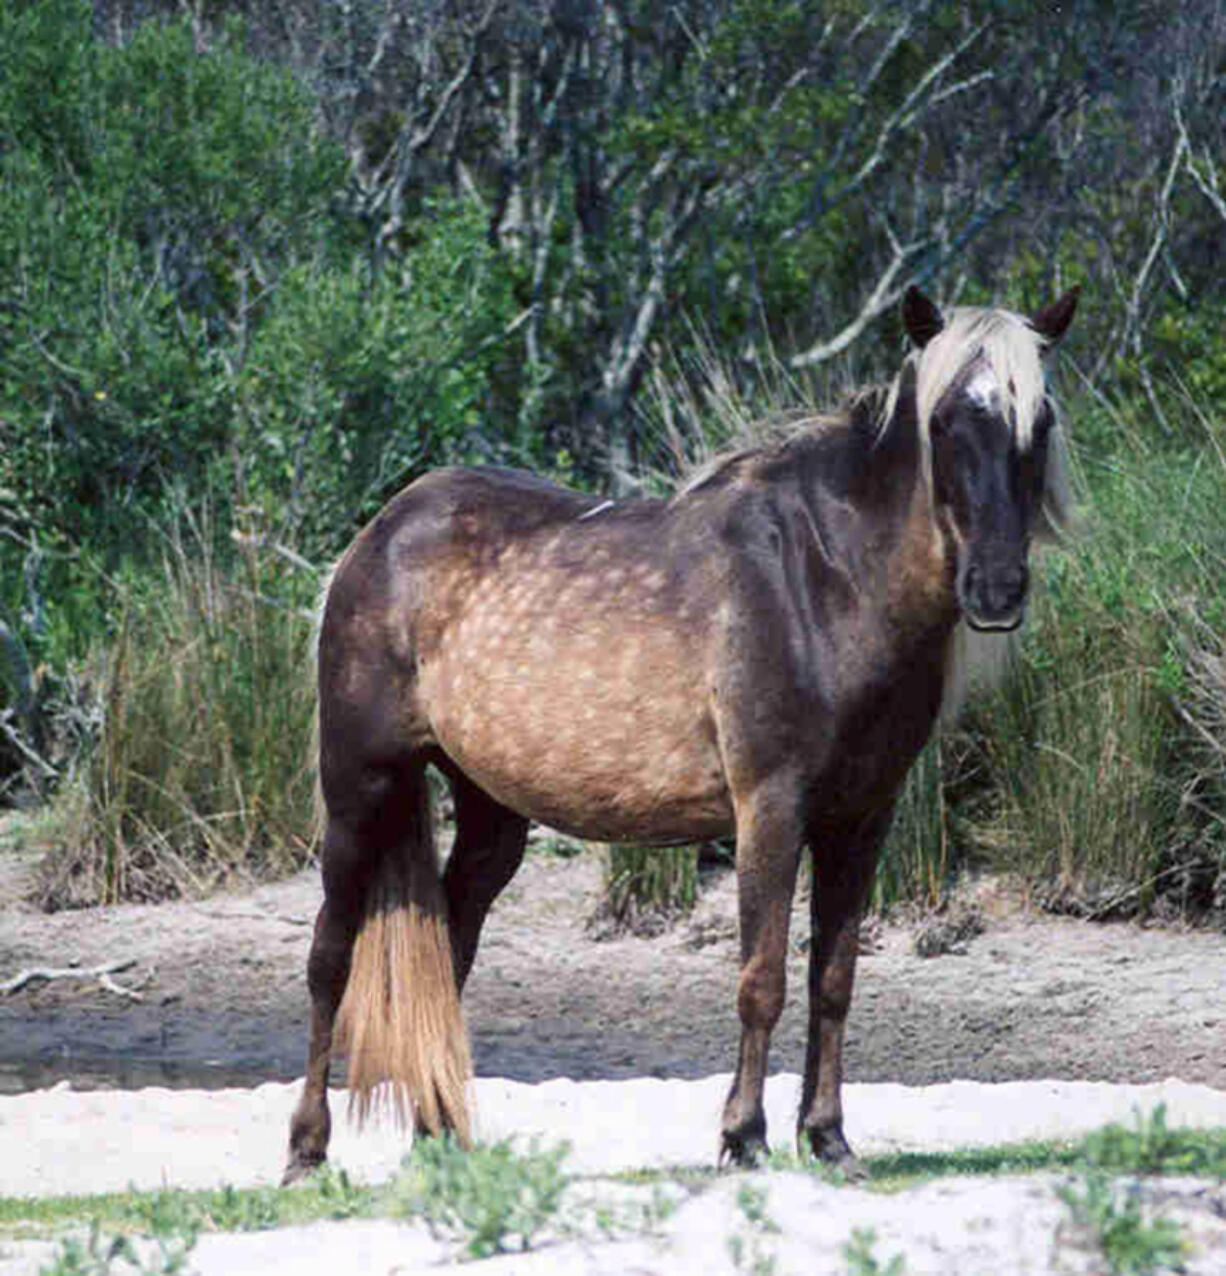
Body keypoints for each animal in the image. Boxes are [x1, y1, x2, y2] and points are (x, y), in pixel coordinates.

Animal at [281, 284, 1076, 1179]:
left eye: (1039, 419)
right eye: (942, 421)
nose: (997, 589)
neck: (827, 579)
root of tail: (377, 536)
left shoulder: (863, 819)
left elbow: (833, 980)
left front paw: (828, 1138)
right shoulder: (770, 810)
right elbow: (762, 978)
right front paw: (744, 1137)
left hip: (490, 813)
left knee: (447, 952)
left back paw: (440, 1136)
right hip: (361, 789)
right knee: (329, 958)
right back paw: (307, 1149)